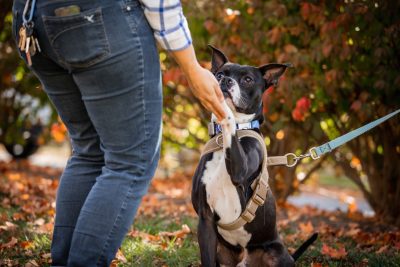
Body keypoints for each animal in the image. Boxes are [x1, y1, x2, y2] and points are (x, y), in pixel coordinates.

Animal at [191, 45, 318, 266]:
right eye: (219, 74)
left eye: (248, 79)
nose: (225, 81)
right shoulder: (206, 220)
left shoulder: (240, 170)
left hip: (275, 253)